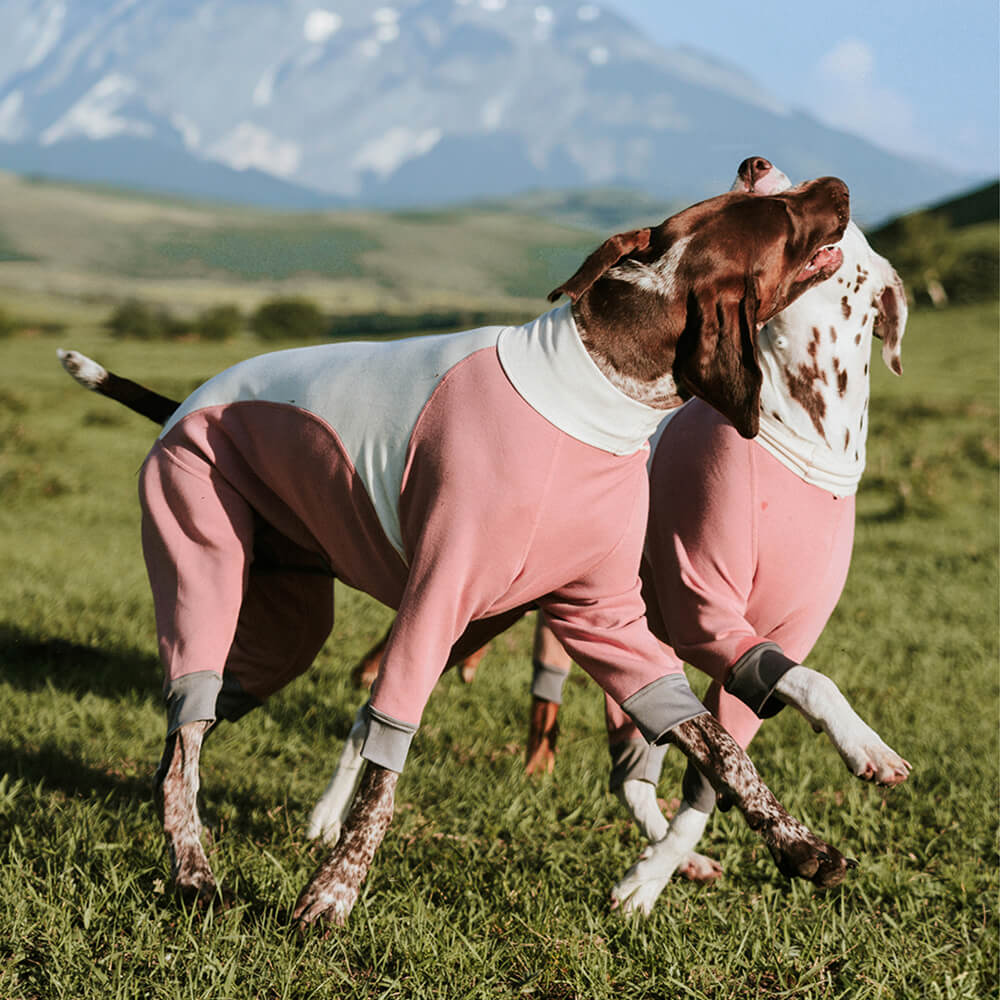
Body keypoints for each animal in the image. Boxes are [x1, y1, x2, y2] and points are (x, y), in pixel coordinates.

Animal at [56, 174, 852, 928]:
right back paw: (194, 869)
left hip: (288, 629)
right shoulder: (436, 598)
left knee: (190, 726)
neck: (603, 388)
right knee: (187, 730)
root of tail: (184, 405)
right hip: (204, 563)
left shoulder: (608, 619)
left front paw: (797, 844)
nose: (839, 186)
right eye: (781, 216)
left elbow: (717, 743)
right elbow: (384, 768)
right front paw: (334, 893)